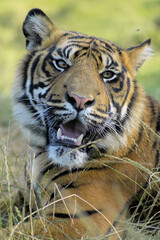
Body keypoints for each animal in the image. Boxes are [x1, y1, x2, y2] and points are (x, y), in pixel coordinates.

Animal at [0, 7, 160, 240]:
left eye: (108, 74)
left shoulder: (76, 219)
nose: (80, 100)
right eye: (61, 64)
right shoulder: (24, 196)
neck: (42, 155)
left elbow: (11, 233)